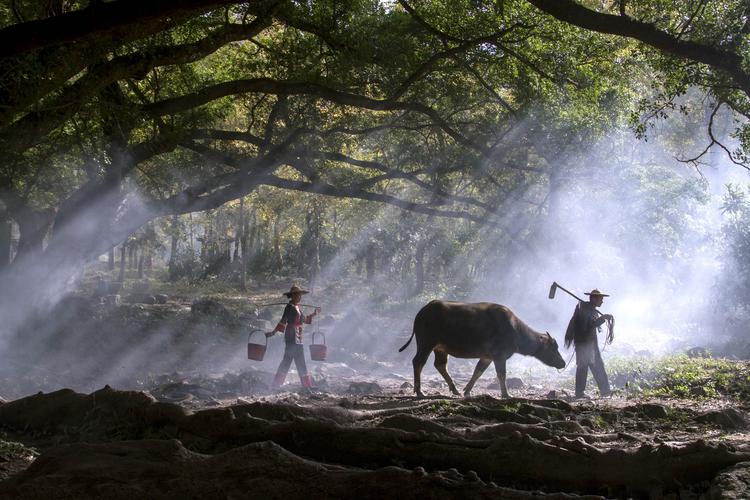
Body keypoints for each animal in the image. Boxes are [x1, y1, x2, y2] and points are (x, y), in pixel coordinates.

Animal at [400, 300, 564, 398]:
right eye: (553, 348)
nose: (562, 363)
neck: (514, 329)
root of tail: (421, 312)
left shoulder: (487, 356)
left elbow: (478, 372)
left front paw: (467, 390)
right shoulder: (499, 355)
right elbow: (501, 374)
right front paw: (506, 394)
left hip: (440, 348)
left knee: (440, 365)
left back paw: (455, 389)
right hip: (426, 343)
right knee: (418, 362)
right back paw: (419, 391)